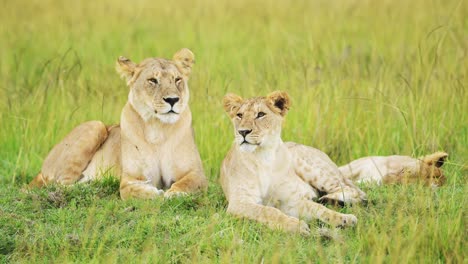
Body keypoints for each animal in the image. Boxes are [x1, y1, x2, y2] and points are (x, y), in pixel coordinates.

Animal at [30, 48, 207, 199]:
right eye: (152, 80)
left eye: (177, 79)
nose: (172, 100)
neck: (158, 128)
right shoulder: (130, 177)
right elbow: (130, 190)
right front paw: (153, 192)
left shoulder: (196, 172)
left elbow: (188, 183)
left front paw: (174, 193)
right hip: (96, 125)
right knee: (60, 184)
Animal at [221, 91, 368, 235]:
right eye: (239, 115)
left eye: (261, 114)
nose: (243, 131)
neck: (264, 156)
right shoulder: (239, 202)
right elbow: (268, 211)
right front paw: (296, 226)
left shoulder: (289, 201)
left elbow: (317, 208)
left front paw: (344, 219)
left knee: (354, 191)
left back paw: (327, 199)